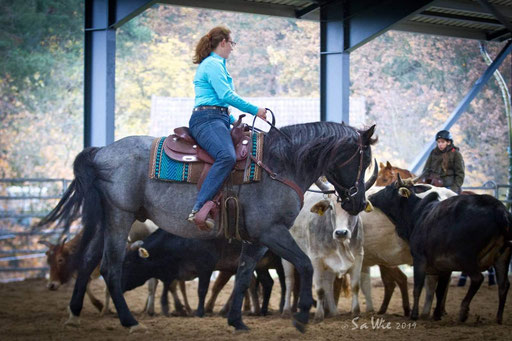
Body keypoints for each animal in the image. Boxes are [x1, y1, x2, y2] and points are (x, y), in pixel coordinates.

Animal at [120, 228, 282, 316]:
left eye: (128, 263)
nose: (118, 284)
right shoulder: (172, 271)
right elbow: (168, 286)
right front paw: (170, 308)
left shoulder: (206, 268)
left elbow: (202, 290)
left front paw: (199, 312)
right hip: (261, 266)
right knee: (268, 283)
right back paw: (263, 310)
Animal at [368, 177, 512, 322]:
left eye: (388, 188)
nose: (370, 196)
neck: (417, 213)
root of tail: (500, 211)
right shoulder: (444, 266)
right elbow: (440, 290)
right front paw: (437, 314)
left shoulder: (419, 259)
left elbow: (418, 288)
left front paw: (415, 314)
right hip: (503, 257)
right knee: (503, 285)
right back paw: (499, 317)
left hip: (466, 257)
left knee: (478, 279)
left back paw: (463, 311)